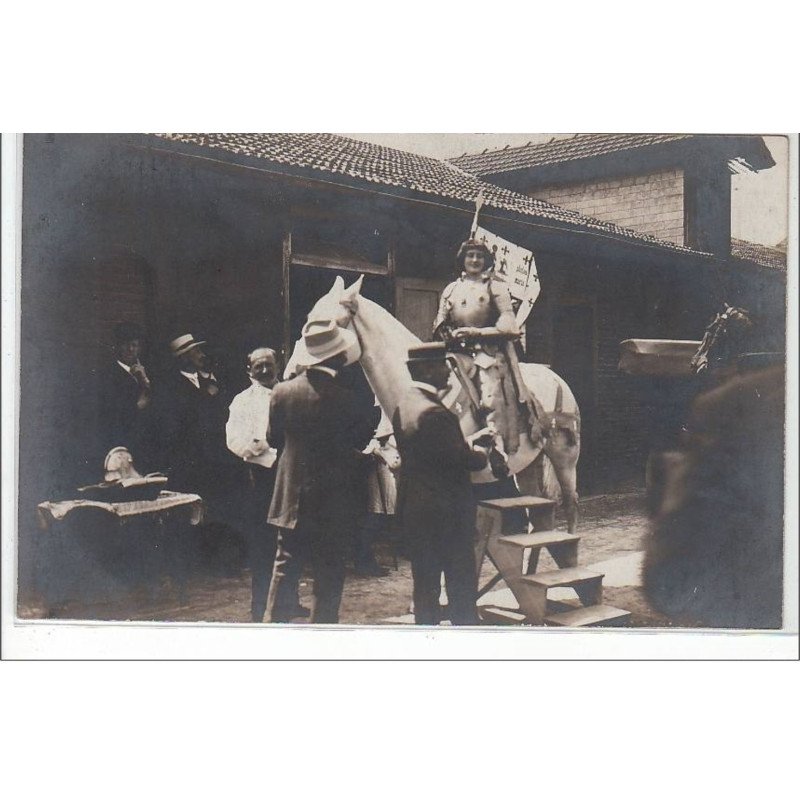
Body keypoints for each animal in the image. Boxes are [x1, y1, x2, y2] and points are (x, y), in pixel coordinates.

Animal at [288, 276, 580, 532]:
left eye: (329, 323)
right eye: (308, 319)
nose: (291, 372)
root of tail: (557, 379)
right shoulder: (404, 472)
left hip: (564, 458)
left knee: (570, 505)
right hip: (528, 465)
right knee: (540, 514)